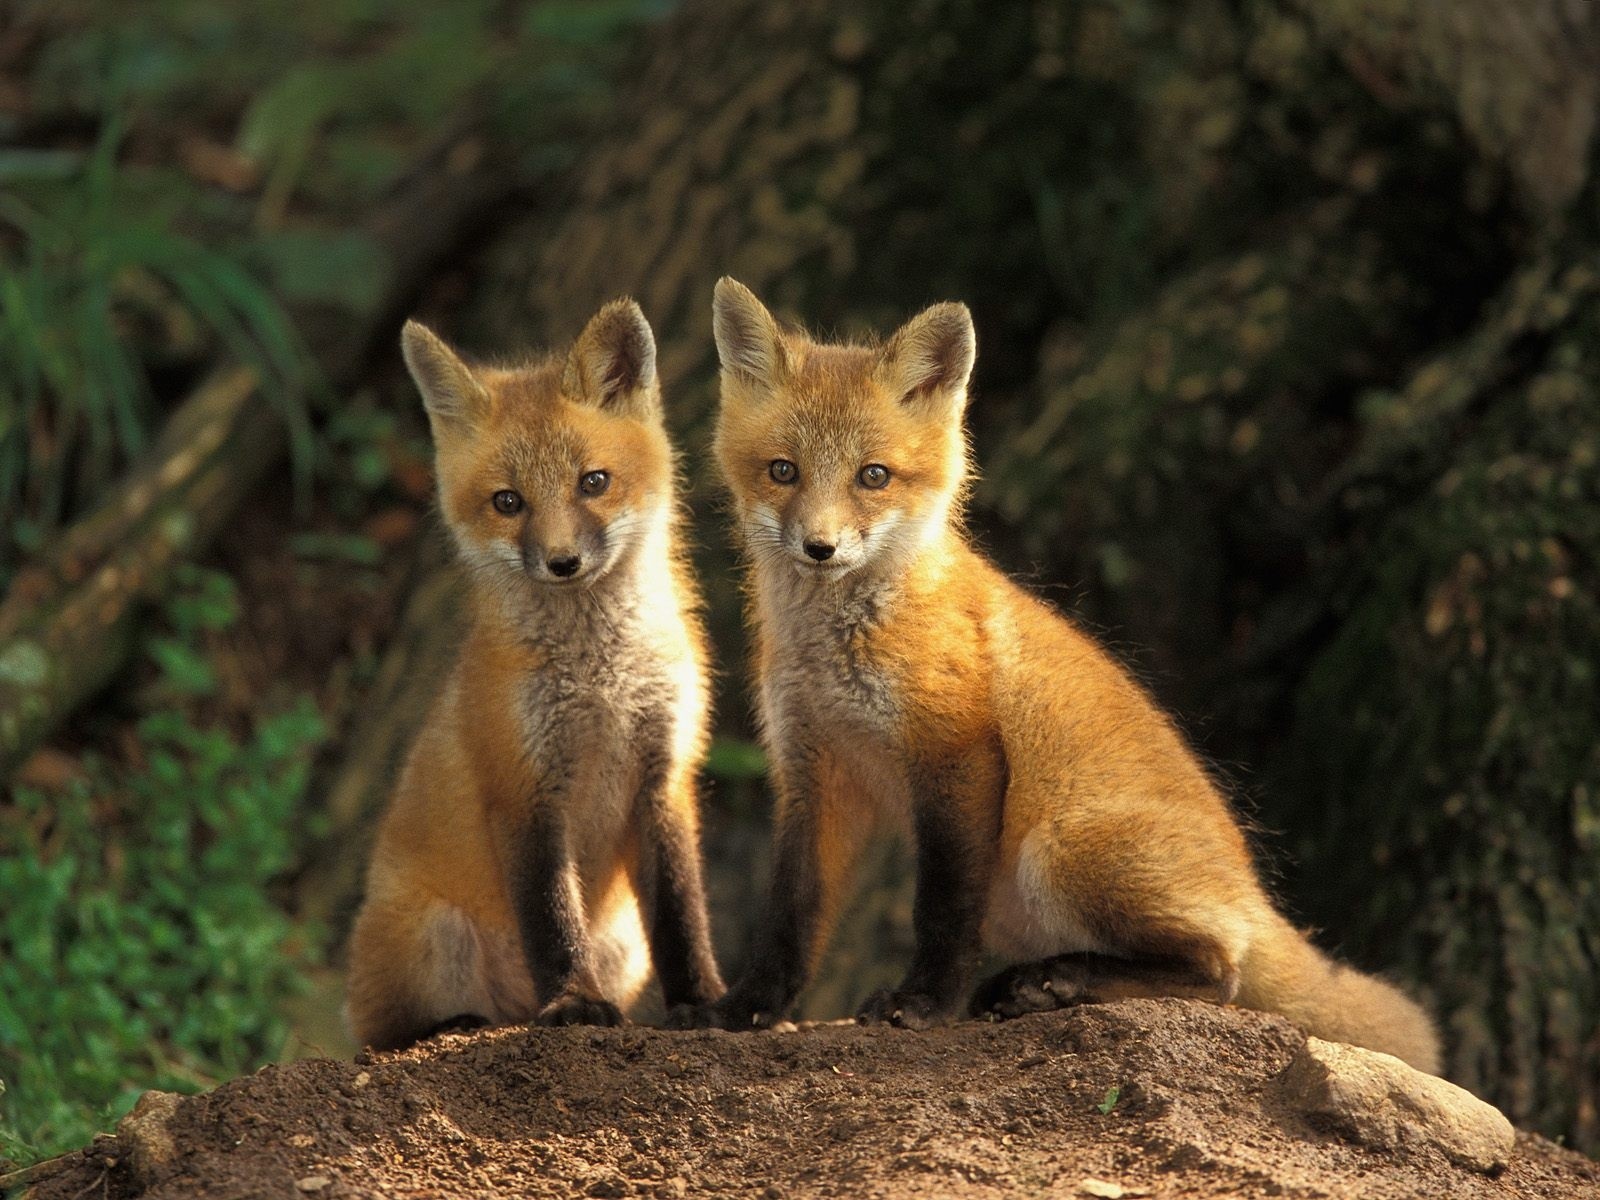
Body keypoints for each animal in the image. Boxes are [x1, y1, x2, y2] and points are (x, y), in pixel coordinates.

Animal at [345, 300, 724, 1050]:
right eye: (508, 502)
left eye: (593, 482)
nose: (562, 562)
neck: (602, 681)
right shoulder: (524, 787)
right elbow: (551, 917)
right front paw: (575, 1002)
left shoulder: (664, 775)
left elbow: (682, 913)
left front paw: (704, 1004)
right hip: (434, 936)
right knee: (384, 1034)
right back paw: (458, 1025)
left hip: (622, 943)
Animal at [669, 277, 1441, 1075]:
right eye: (782, 470)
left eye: (872, 476)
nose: (819, 548)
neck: (838, 648)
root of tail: (1253, 891)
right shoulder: (814, 769)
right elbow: (792, 912)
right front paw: (746, 1010)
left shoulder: (958, 753)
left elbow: (941, 907)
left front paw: (924, 1004)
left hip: (1057, 849)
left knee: (1220, 972)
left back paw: (1058, 982)